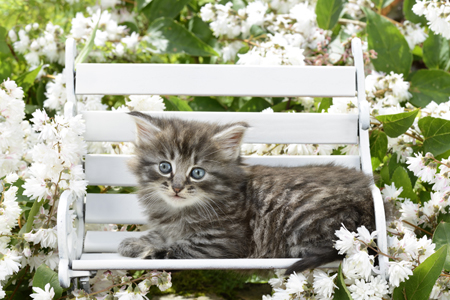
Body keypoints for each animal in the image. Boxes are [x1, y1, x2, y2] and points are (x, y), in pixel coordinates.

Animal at [118, 111, 374, 274]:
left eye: (197, 172)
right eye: (165, 167)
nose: (177, 187)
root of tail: (368, 196)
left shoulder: (222, 242)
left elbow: (178, 248)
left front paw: (150, 251)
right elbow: (159, 235)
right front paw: (135, 242)